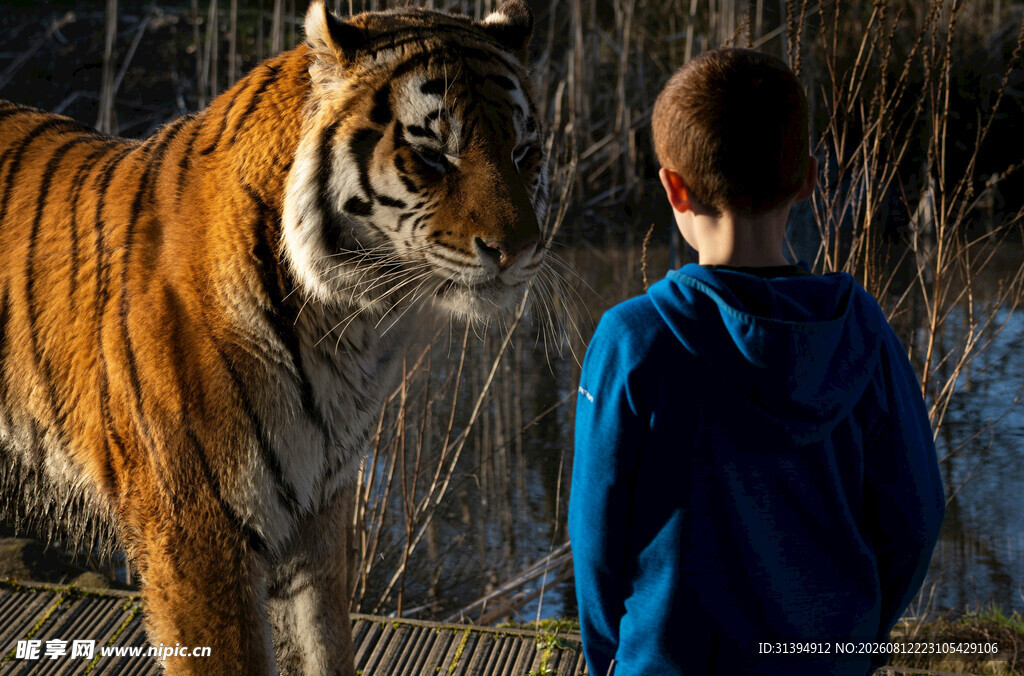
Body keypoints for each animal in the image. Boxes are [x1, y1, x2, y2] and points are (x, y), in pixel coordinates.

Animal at [0, 0, 548, 673]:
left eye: (525, 153)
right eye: (432, 158)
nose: (520, 250)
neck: (352, 324)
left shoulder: (317, 508)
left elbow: (323, 646)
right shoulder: (196, 528)